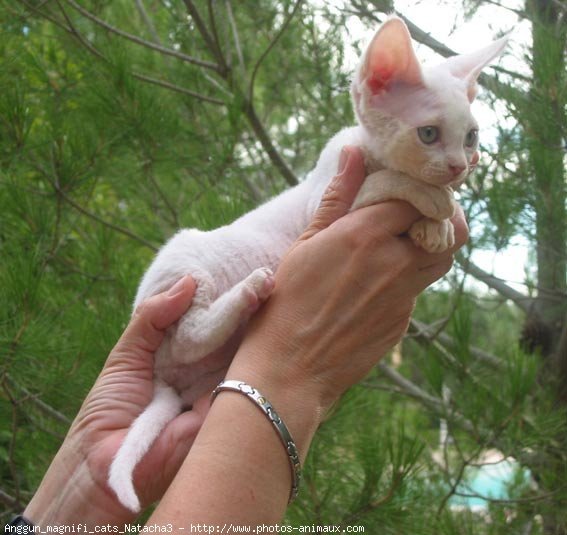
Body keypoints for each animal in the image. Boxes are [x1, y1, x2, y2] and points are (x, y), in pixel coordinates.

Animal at [108, 15, 508, 510]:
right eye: (429, 134)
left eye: (471, 137)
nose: (459, 165)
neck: (368, 151)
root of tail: (163, 377)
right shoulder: (333, 197)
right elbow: (394, 184)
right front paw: (436, 205)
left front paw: (433, 228)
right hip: (186, 271)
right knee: (187, 334)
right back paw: (248, 292)